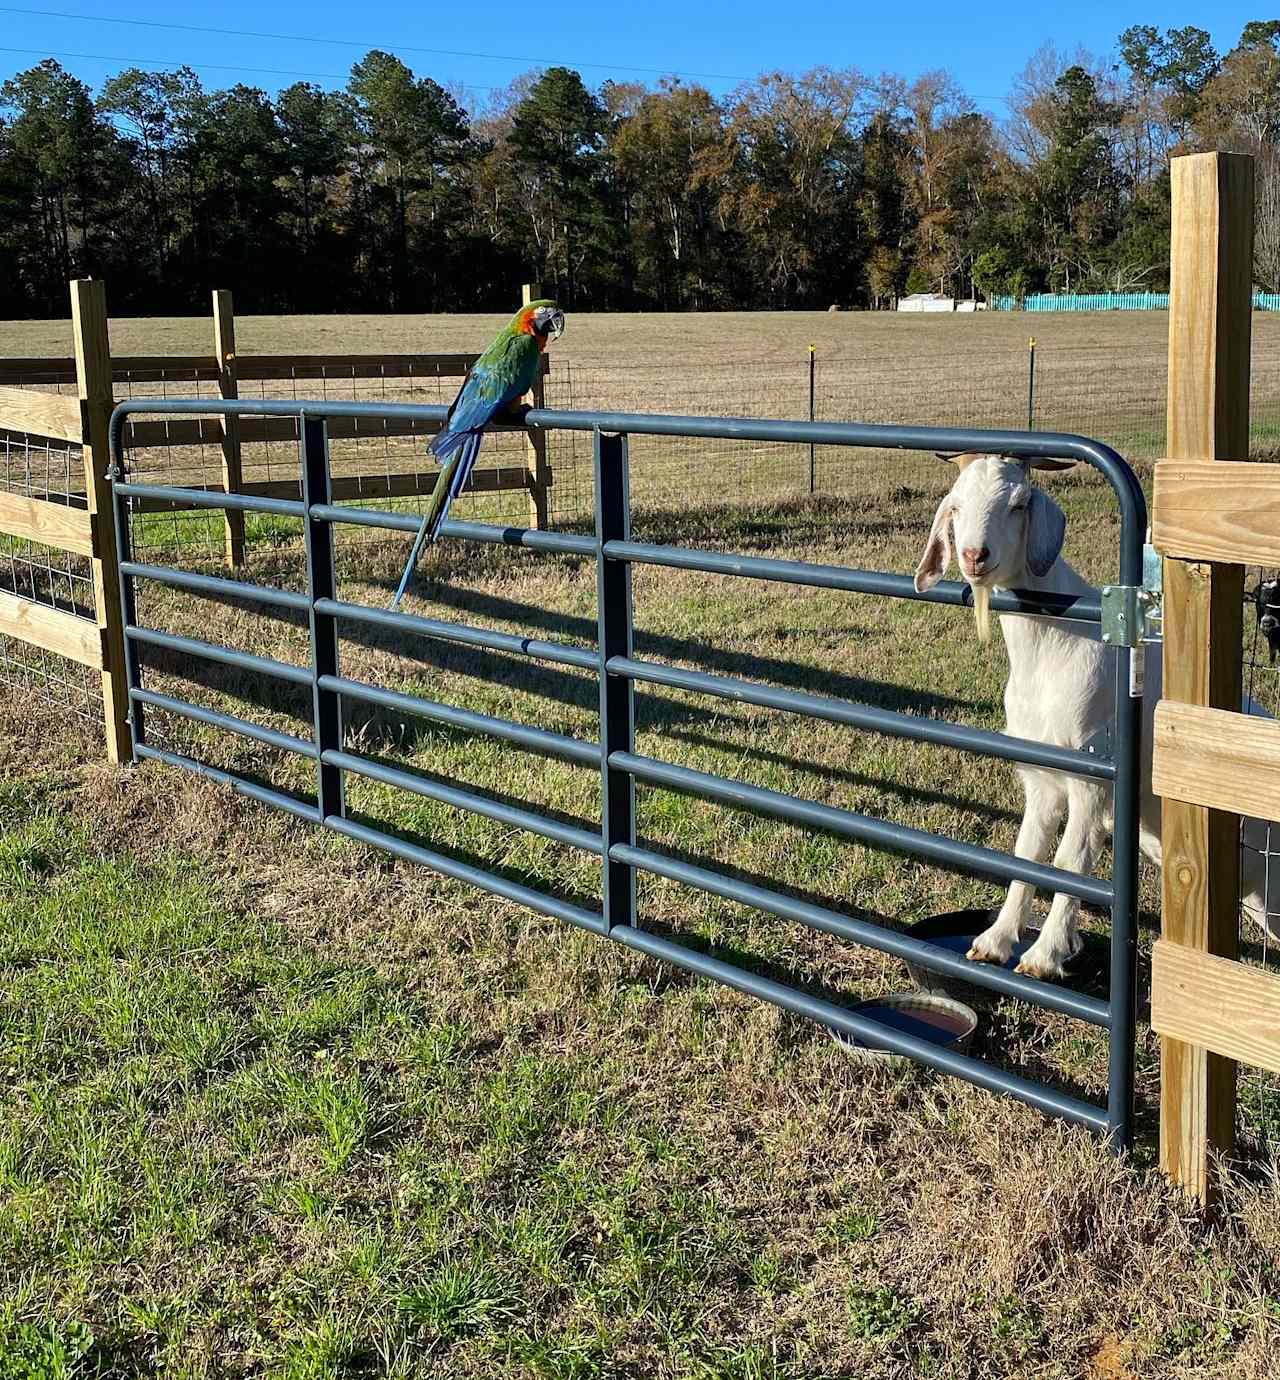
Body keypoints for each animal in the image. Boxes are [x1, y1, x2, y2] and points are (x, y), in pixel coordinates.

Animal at [915, 455, 1274, 982]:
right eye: (956, 505)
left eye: (1018, 503)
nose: (974, 556)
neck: (1052, 650)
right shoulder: (1041, 777)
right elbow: (1028, 854)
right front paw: (995, 941)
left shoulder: (1093, 776)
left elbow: (1069, 860)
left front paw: (1044, 955)